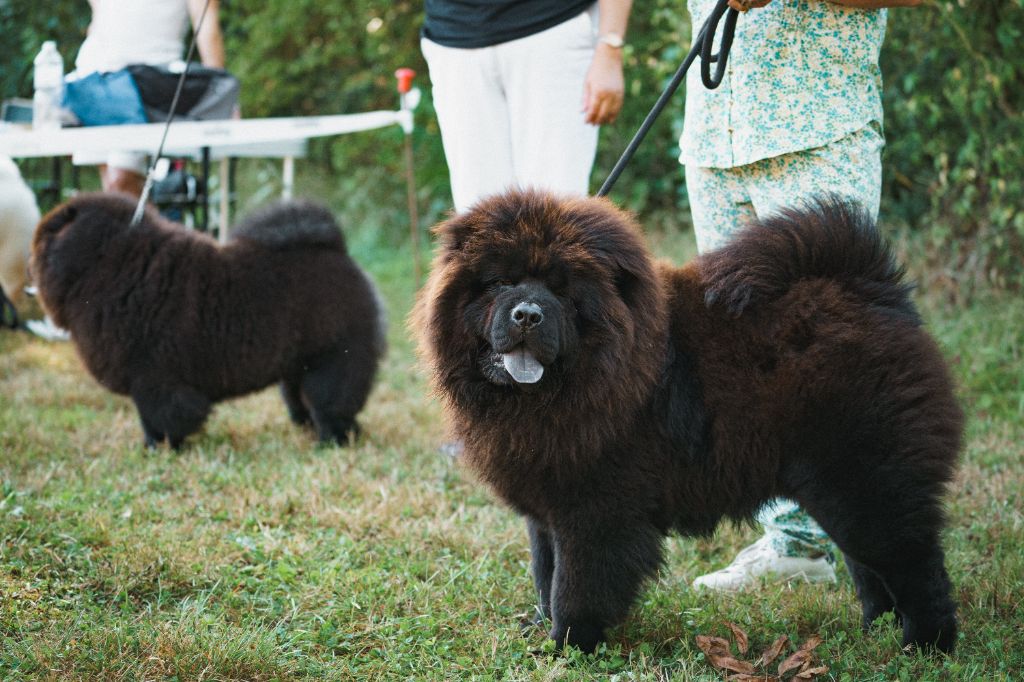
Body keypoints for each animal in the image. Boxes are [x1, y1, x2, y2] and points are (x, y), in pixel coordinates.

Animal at [36, 192, 385, 446]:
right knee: (305, 400)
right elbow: (150, 417)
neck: (112, 265)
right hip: (297, 366)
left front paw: (163, 447)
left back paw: (333, 441)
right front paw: (152, 446)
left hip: (334, 358)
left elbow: (161, 416)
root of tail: (338, 252)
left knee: (331, 402)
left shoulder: (154, 378)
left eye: (47, 233)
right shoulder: (146, 380)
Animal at [413, 188, 958, 651]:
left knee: (916, 565)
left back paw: (925, 647)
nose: (527, 313)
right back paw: (874, 630)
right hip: (839, 490)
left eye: (563, 293)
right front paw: (542, 629)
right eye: (500, 284)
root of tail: (874, 292)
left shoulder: (595, 512)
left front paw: (568, 646)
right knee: (870, 568)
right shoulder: (546, 508)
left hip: (865, 482)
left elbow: (575, 586)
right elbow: (545, 574)